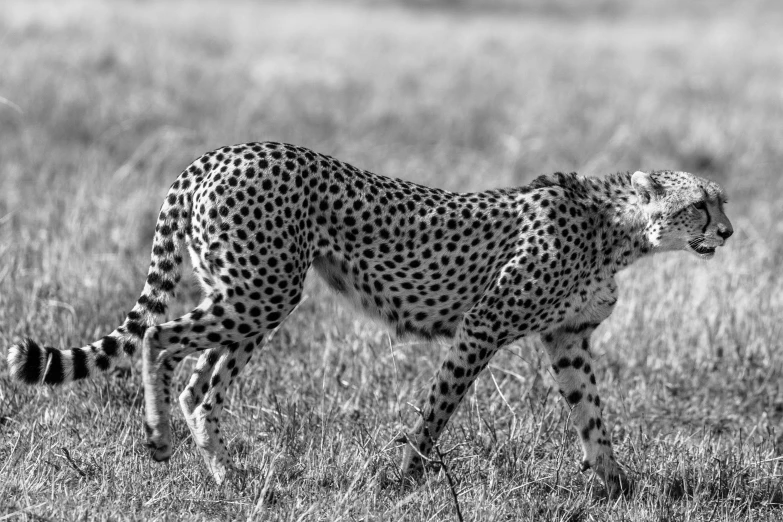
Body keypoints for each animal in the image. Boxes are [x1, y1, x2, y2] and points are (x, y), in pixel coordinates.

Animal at [6, 140, 732, 494]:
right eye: (699, 204)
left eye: (719, 201)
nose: (727, 232)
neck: (616, 229)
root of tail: (223, 152)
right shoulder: (484, 326)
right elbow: (438, 409)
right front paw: (404, 477)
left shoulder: (567, 339)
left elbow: (593, 418)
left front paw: (618, 486)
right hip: (262, 289)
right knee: (159, 336)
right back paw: (159, 442)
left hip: (252, 294)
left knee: (200, 384)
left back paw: (227, 478)